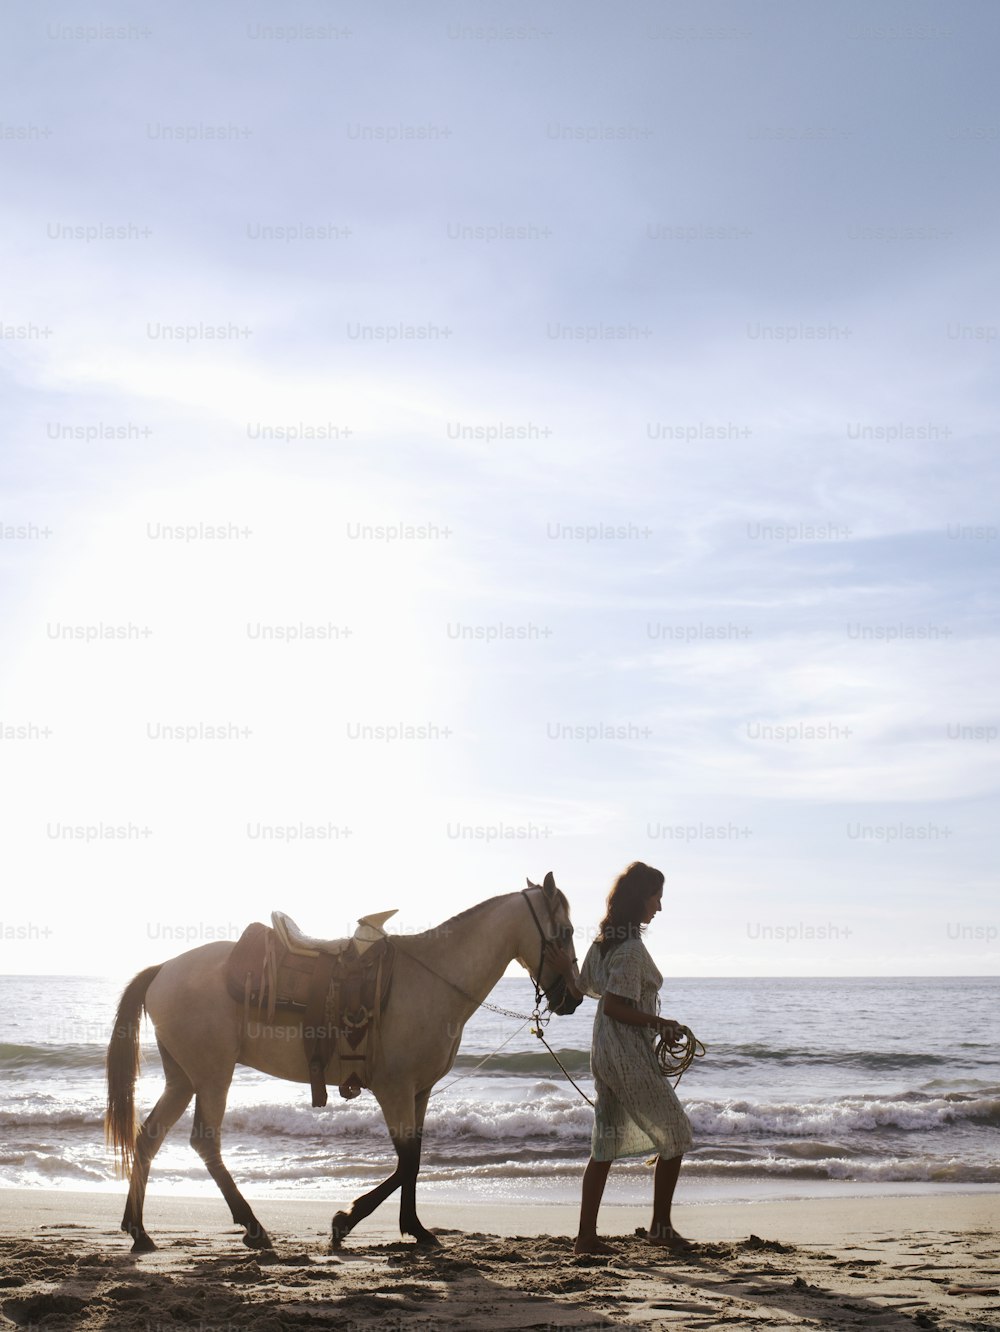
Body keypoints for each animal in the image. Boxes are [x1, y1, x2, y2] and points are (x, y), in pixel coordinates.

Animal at [103, 873, 577, 1246]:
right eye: (567, 931)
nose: (572, 997)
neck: (431, 979)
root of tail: (164, 968)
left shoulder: (419, 1091)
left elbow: (413, 1159)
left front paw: (413, 1227)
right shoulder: (393, 1089)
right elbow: (407, 1159)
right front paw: (346, 1220)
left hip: (182, 1078)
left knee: (148, 1138)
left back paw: (139, 1230)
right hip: (212, 1075)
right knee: (205, 1143)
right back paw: (253, 1228)